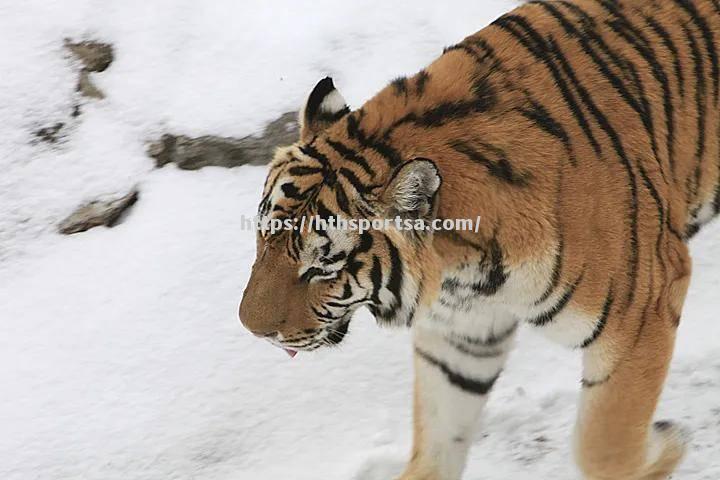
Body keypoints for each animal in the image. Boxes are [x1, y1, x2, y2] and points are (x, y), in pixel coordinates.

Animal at [238, 0, 720, 478]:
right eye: (262, 238)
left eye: (322, 268)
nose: (252, 330)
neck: (465, 271)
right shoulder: (460, 336)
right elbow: (436, 442)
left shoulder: (642, 311)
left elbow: (604, 444)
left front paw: (667, 447)